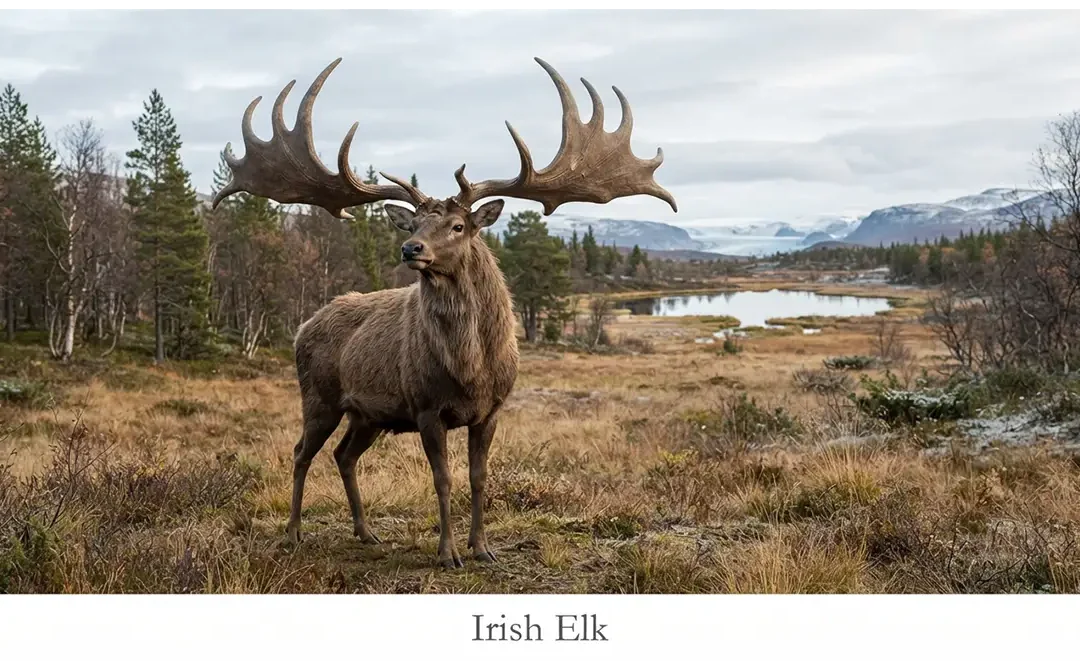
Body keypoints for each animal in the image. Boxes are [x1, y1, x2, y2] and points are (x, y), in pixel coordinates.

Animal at [211, 56, 677, 568]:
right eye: (413, 223)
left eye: (458, 225)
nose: (410, 248)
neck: (470, 368)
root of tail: (302, 327)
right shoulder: (425, 408)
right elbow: (443, 479)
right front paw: (448, 552)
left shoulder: (491, 410)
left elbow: (478, 478)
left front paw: (483, 547)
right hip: (320, 396)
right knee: (300, 452)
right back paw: (294, 531)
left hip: (366, 415)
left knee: (343, 456)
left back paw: (366, 532)